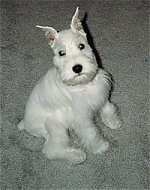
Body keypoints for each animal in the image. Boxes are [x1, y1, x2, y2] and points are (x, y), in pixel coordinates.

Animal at [17, 7, 120, 164]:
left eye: (81, 46)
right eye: (61, 53)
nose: (77, 68)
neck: (82, 84)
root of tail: (25, 123)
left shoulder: (101, 94)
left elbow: (107, 107)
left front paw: (113, 122)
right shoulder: (81, 118)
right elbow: (91, 133)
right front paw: (100, 147)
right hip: (56, 129)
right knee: (51, 150)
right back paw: (77, 156)